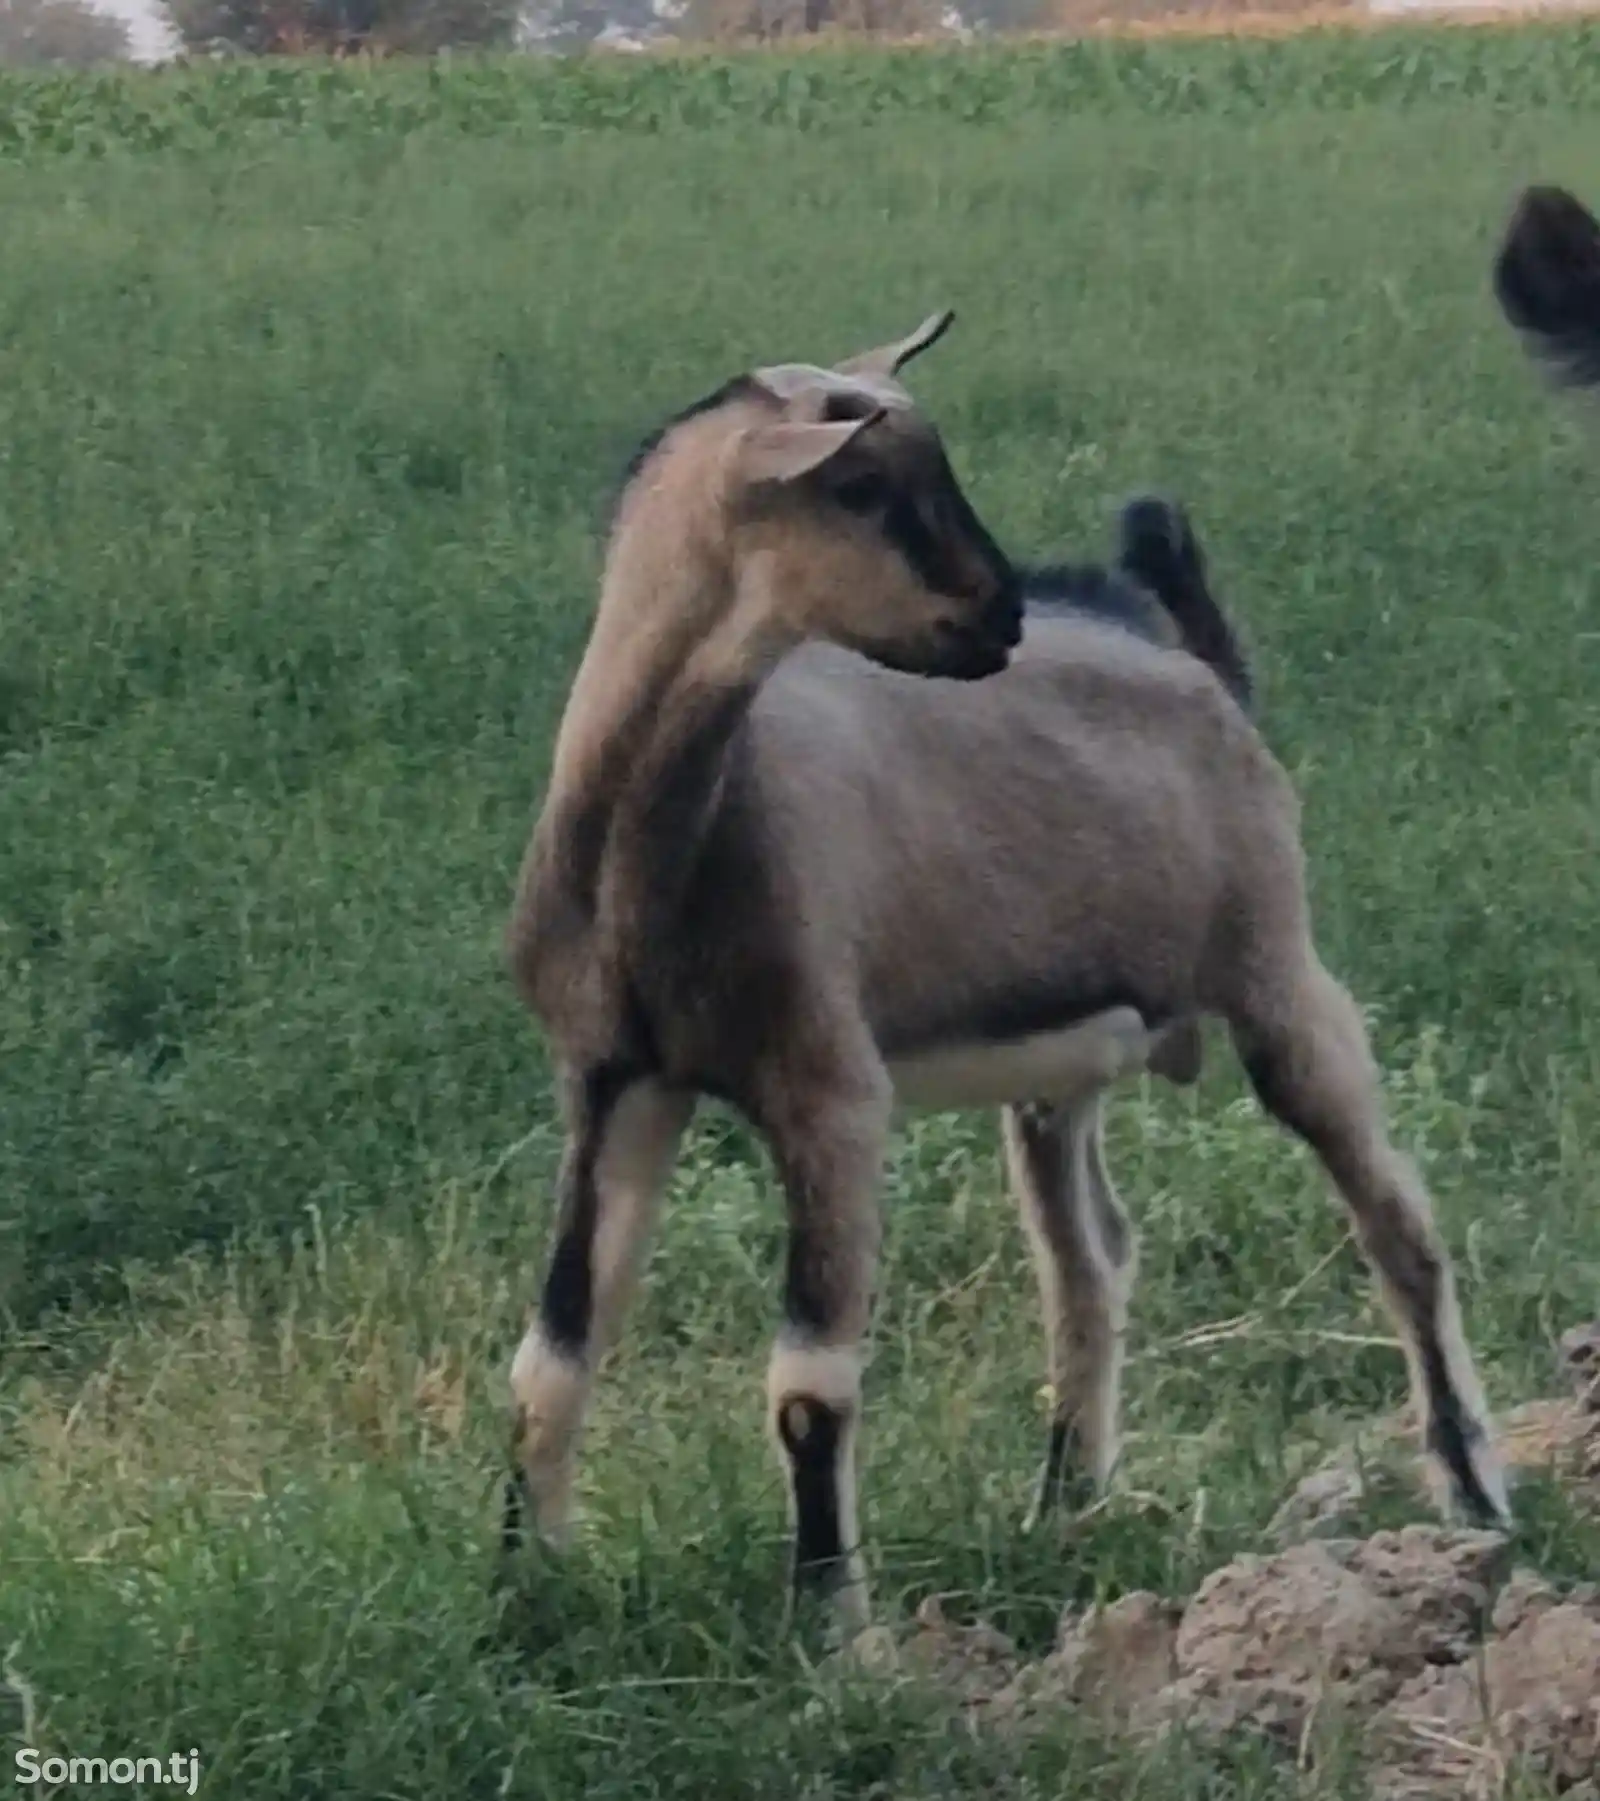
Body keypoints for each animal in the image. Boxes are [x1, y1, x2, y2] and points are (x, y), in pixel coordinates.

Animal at [504, 306, 1513, 1635]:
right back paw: (1065, 1506)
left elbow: (808, 1384)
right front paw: (524, 1592)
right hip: (1061, 1071)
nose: (1001, 618)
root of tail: (1193, 662)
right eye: (864, 486)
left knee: (1397, 1221)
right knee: (1089, 1262)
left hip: (1279, 975)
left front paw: (836, 1633)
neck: (662, 853)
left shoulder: (830, 1090)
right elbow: (554, 1353)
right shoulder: (616, 1080)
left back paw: (1475, 1498)